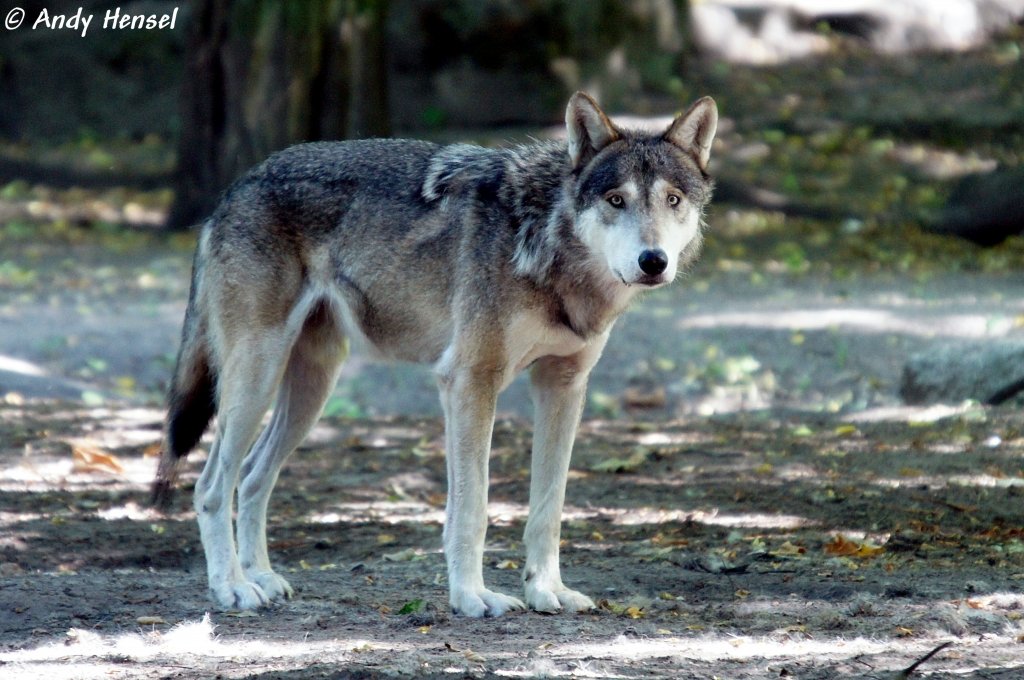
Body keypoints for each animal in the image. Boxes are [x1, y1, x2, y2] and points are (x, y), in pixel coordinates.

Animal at [151, 93, 716, 618]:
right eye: (616, 200)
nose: (653, 261)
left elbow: (548, 508)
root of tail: (234, 189)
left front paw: (546, 591)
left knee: (251, 478)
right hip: (257, 377)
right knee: (211, 486)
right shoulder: (469, 382)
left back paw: (263, 578)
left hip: (311, 389)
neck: (545, 243)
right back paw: (231, 588)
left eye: (672, 200)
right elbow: (472, 508)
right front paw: (471, 597)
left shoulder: (564, 387)